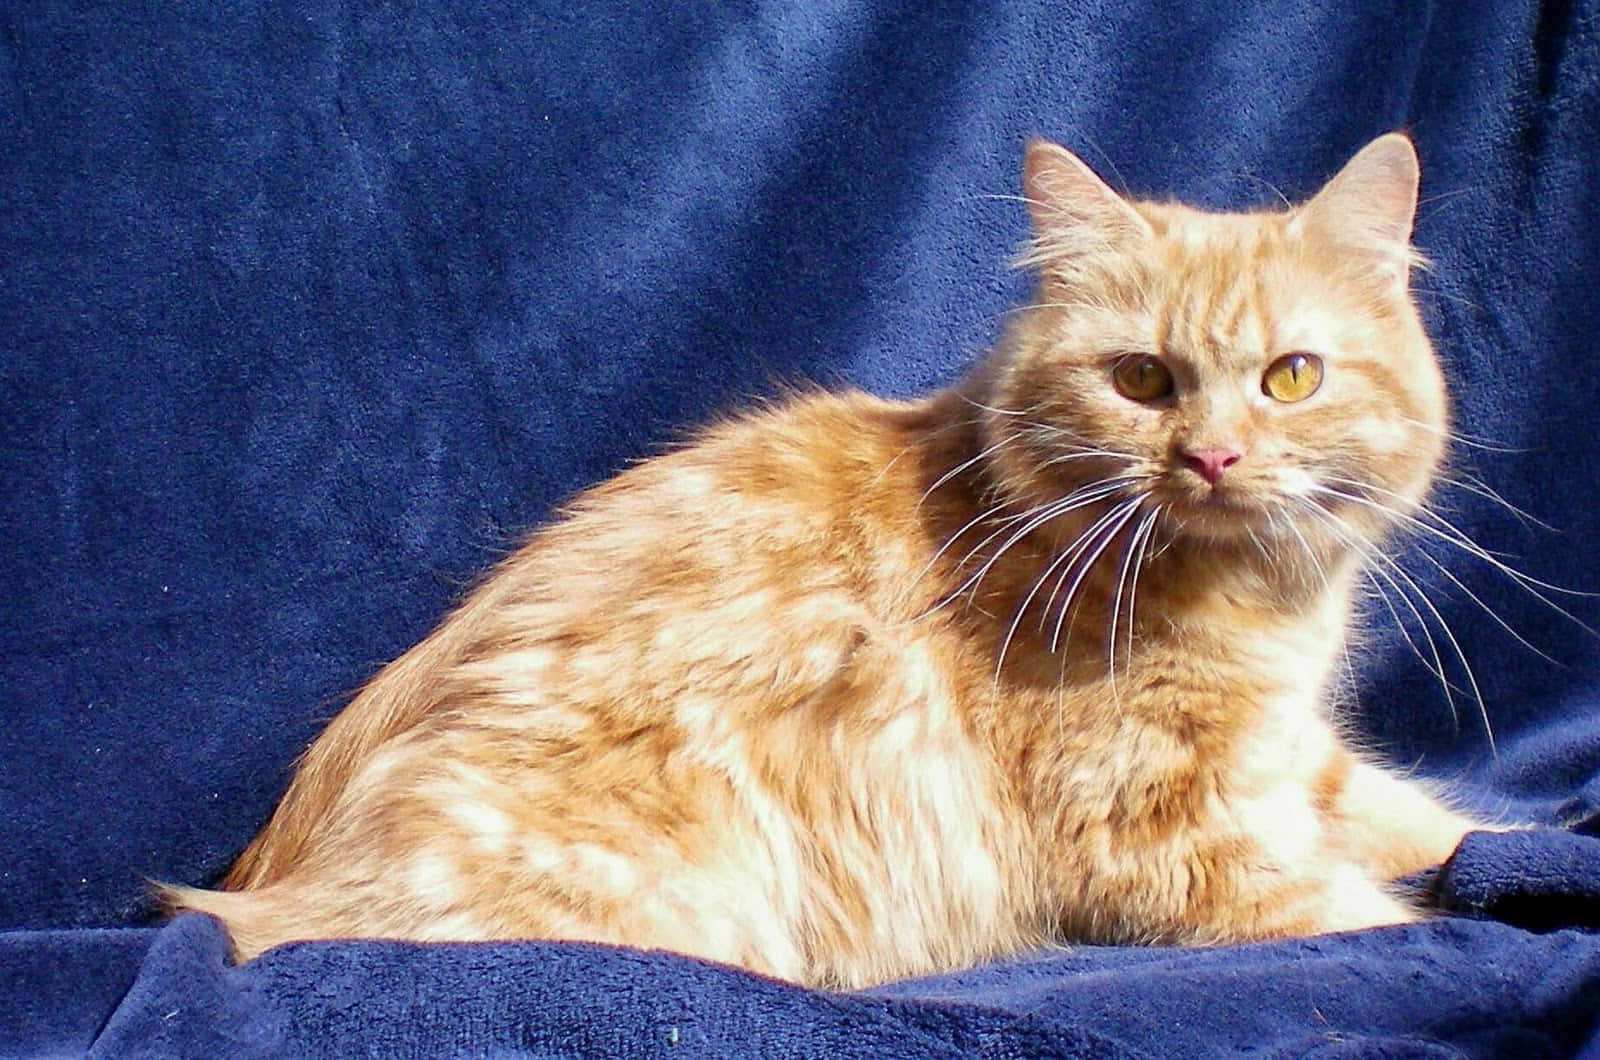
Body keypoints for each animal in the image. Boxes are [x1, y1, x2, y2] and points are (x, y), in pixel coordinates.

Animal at [159, 135, 1484, 999]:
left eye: (1291, 377)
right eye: (1142, 379)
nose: (1210, 456)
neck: (1248, 604)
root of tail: (260, 888)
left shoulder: (1289, 757)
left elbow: (1422, 818)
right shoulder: (1162, 841)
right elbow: (1359, 912)